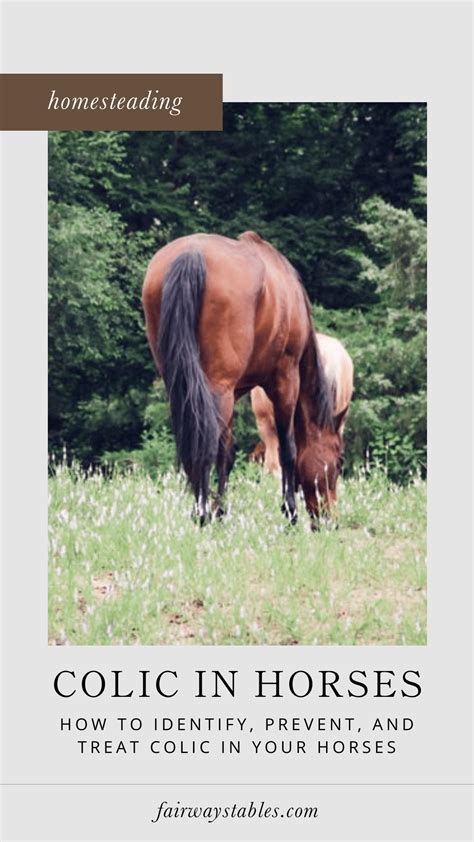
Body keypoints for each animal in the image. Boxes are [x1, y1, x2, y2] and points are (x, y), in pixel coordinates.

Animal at [142, 230, 341, 526]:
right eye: (338, 462)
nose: (329, 518)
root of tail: (192, 253)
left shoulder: (234, 391)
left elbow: (227, 452)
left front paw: (221, 509)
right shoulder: (285, 380)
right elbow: (288, 448)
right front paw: (289, 510)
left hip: (188, 386)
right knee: (205, 444)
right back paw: (202, 514)